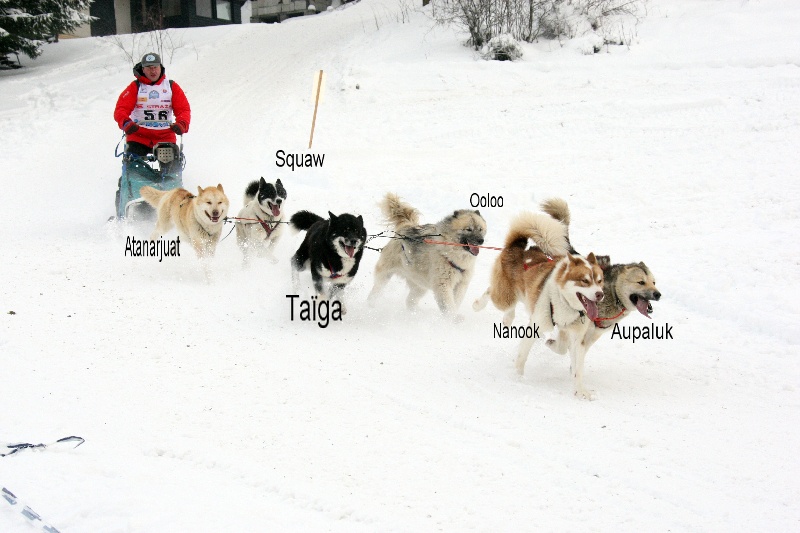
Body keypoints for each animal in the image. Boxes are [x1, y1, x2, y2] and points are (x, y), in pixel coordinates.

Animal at [472, 209, 604, 400]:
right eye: (585, 281)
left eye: (599, 281)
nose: (600, 294)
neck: (564, 303)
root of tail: (516, 247)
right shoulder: (535, 327)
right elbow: (522, 355)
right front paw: (517, 377)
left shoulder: (576, 338)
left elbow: (576, 367)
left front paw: (581, 391)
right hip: (504, 297)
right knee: (492, 292)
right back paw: (479, 305)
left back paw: (508, 318)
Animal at [540, 197, 660, 364]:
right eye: (641, 282)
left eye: (653, 282)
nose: (658, 294)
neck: (613, 295)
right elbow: (563, 346)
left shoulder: (591, 335)